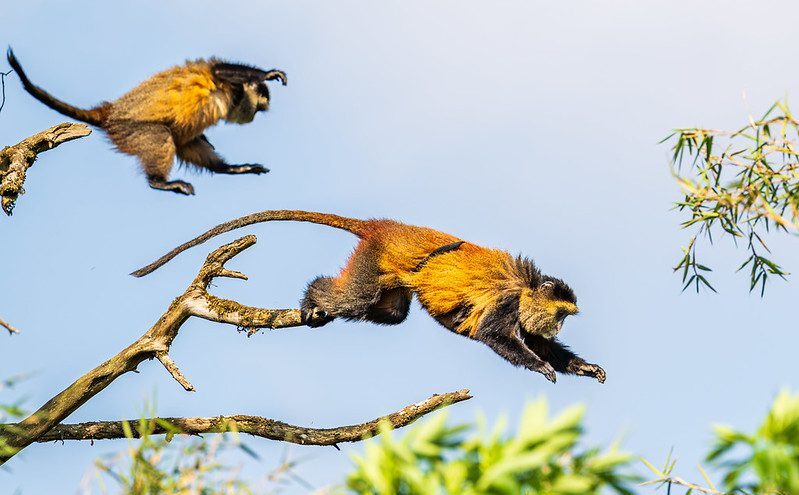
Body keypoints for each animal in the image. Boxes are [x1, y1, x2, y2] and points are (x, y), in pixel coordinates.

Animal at [6, 48, 287, 195]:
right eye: (258, 109)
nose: (252, 116)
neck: (231, 99)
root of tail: (109, 112)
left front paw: (233, 166)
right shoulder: (228, 85)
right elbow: (218, 71)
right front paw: (267, 73)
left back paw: (228, 169)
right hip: (129, 129)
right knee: (160, 136)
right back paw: (158, 181)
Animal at [131, 210, 606, 383]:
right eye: (563, 315)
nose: (560, 325)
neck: (526, 288)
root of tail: (386, 227)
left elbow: (535, 340)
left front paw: (582, 366)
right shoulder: (508, 301)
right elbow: (495, 335)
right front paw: (541, 366)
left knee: (391, 312)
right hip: (371, 259)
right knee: (354, 300)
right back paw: (313, 297)